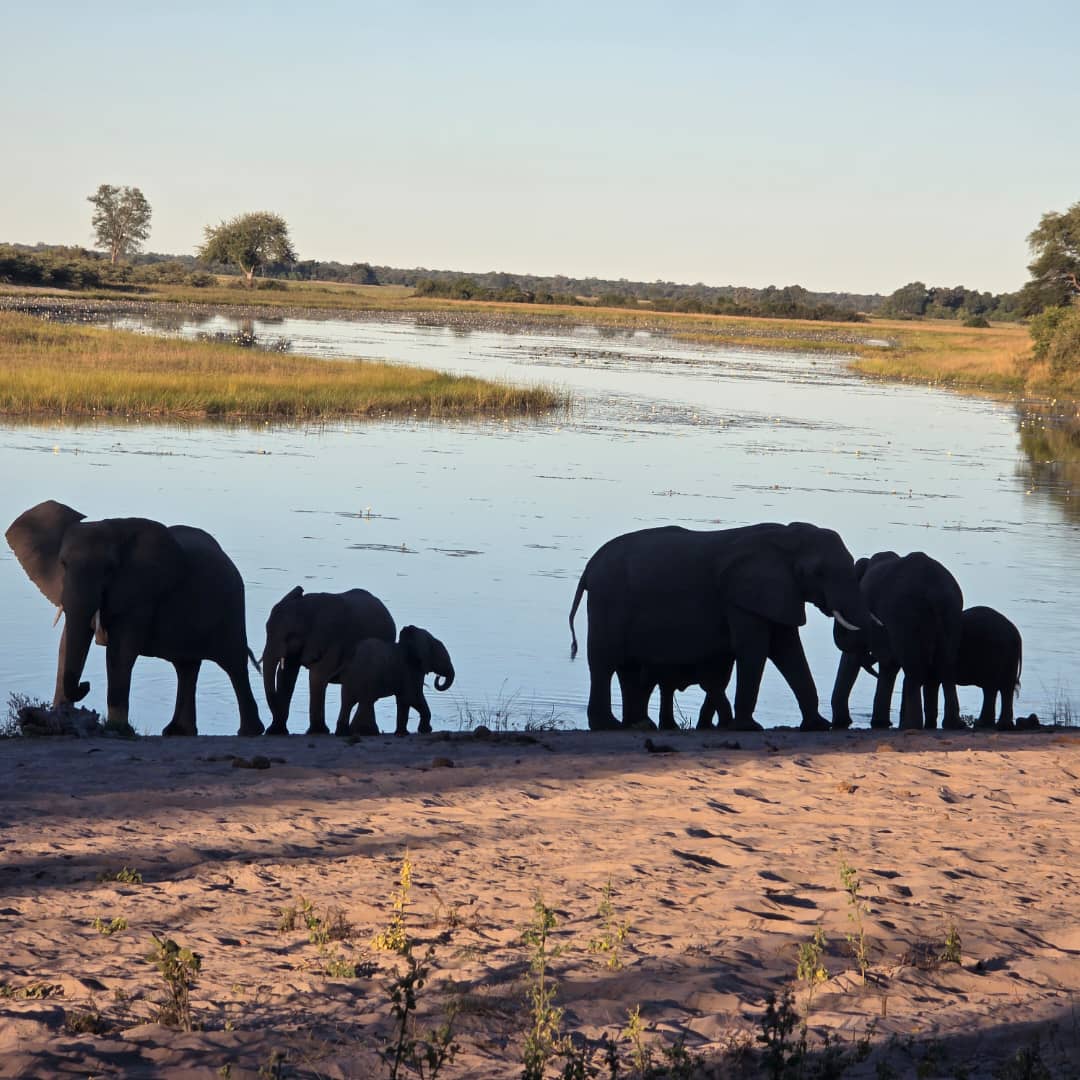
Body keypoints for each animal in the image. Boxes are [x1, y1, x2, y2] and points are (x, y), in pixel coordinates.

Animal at [5, 499, 263, 736]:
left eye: (110, 569)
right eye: (63, 564)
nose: (85, 685)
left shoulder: (141, 593)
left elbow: (120, 651)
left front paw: (118, 729)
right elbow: (66, 642)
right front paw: (60, 716)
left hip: (231, 605)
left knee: (233, 664)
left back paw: (249, 731)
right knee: (186, 666)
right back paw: (178, 731)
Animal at [261, 585, 396, 735]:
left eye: (290, 635)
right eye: (266, 629)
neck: (306, 607)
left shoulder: (333, 639)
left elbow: (317, 676)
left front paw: (316, 731)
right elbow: (286, 676)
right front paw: (275, 731)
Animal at [568, 522, 874, 732]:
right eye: (818, 573)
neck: (786, 537)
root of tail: (589, 569)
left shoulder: (778, 593)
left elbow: (788, 650)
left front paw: (817, 725)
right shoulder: (741, 598)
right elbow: (755, 649)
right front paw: (748, 728)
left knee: (628, 668)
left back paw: (639, 725)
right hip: (609, 599)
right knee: (604, 661)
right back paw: (607, 725)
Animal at [831, 551, 963, 730]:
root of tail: (933, 592)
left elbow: (855, 655)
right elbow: (888, 664)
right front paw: (880, 724)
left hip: (905, 615)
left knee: (914, 671)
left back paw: (911, 726)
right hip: (951, 613)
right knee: (946, 666)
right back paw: (953, 724)